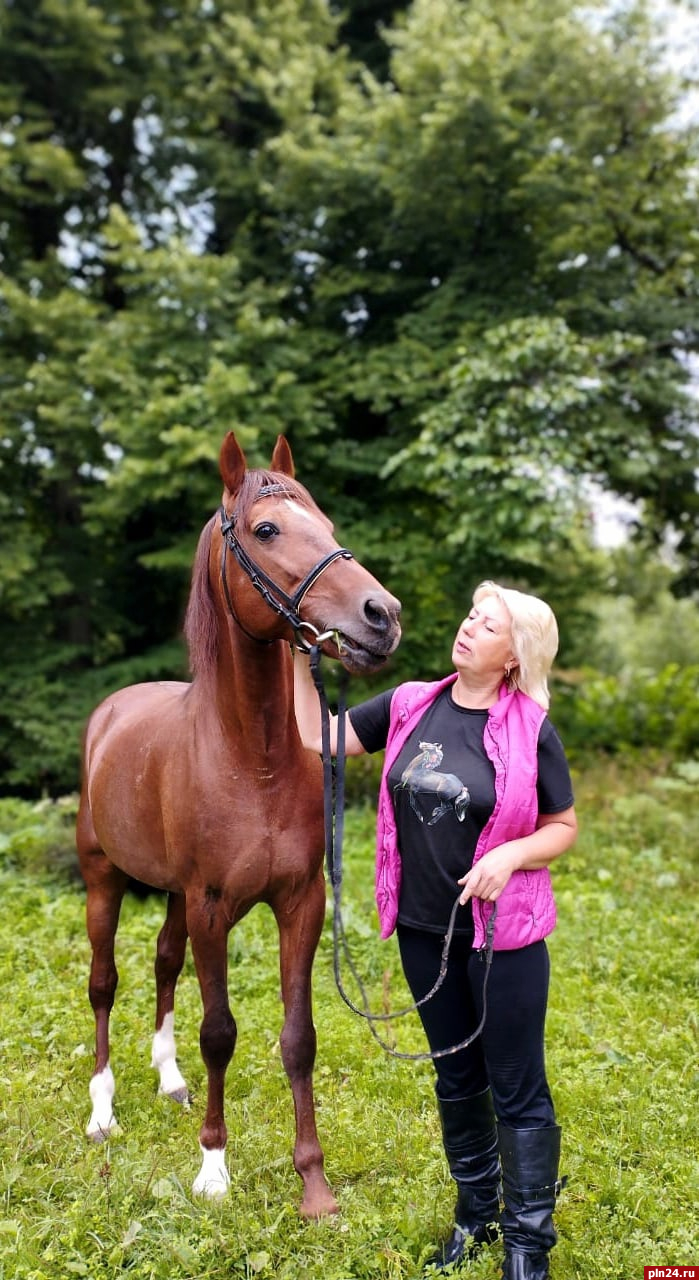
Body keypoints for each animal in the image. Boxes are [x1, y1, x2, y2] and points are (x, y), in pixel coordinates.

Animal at [74, 435, 396, 1213]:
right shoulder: (212, 906)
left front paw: (314, 1185)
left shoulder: (299, 903)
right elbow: (219, 1030)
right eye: (266, 529)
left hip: (169, 895)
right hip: (106, 881)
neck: (254, 760)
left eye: (325, 523)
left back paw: (169, 1080)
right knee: (104, 984)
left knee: (163, 964)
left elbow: (298, 1035)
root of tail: (111, 710)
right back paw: (103, 1111)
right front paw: (213, 1169)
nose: (381, 614)